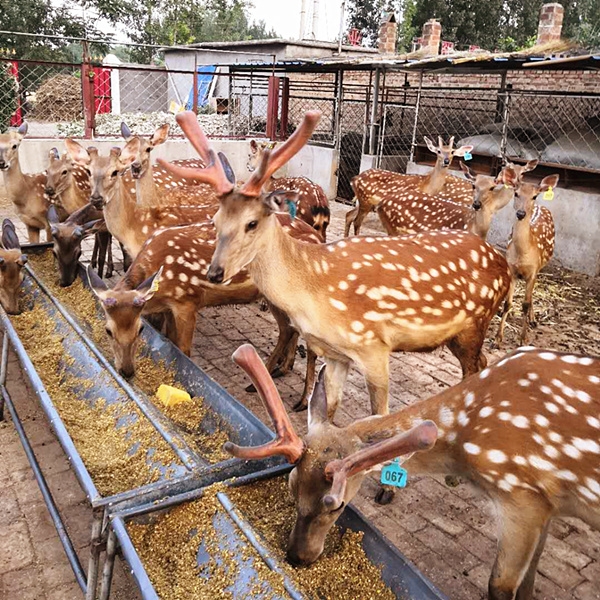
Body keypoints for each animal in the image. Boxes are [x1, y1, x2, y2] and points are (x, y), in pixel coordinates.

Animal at [225, 342, 600, 600]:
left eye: (337, 505)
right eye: (291, 486)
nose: (297, 557)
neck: (464, 443)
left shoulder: (520, 493)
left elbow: (500, 585)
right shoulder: (548, 501)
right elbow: (529, 579)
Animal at [344, 136, 476, 237]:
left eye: (452, 151)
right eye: (438, 151)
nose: (446, 161)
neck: (427, 185)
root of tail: (354, 179)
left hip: (365, 202)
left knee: (349, 215)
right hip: (365, 200)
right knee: (356, 221)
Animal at [494, 172, 560, 346]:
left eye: (534, 196)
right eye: (516, 193)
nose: (521, 213)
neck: (523, 254)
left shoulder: (533, 271)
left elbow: (525, 303)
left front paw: (523, 338)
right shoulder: (512, 270)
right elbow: (508, 303)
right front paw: (497, 338)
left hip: (541, 266)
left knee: (531, 295)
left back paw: (533, 319)